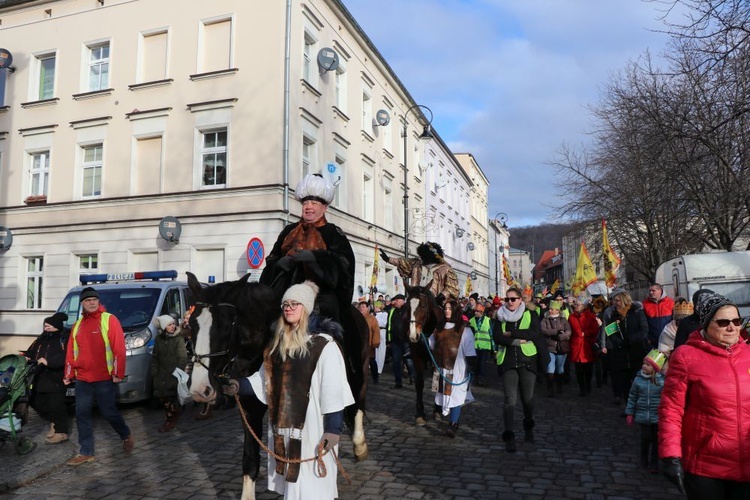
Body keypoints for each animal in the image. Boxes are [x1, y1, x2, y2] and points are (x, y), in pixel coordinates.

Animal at [185, 274, 368, 500]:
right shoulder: (249, 408)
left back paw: (359, 445)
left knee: (357, 400)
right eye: (192, 325)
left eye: (226, 326)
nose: (199, 389)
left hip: (357, 370)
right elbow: (250, 458)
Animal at [406, 288, 446, 424]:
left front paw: (437, 410)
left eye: (423, 306)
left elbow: (440, 382)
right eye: (407, 306)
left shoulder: (439, 360)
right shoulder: (417, 357)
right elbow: (419, 383)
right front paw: (420, 414)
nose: (413, 335)